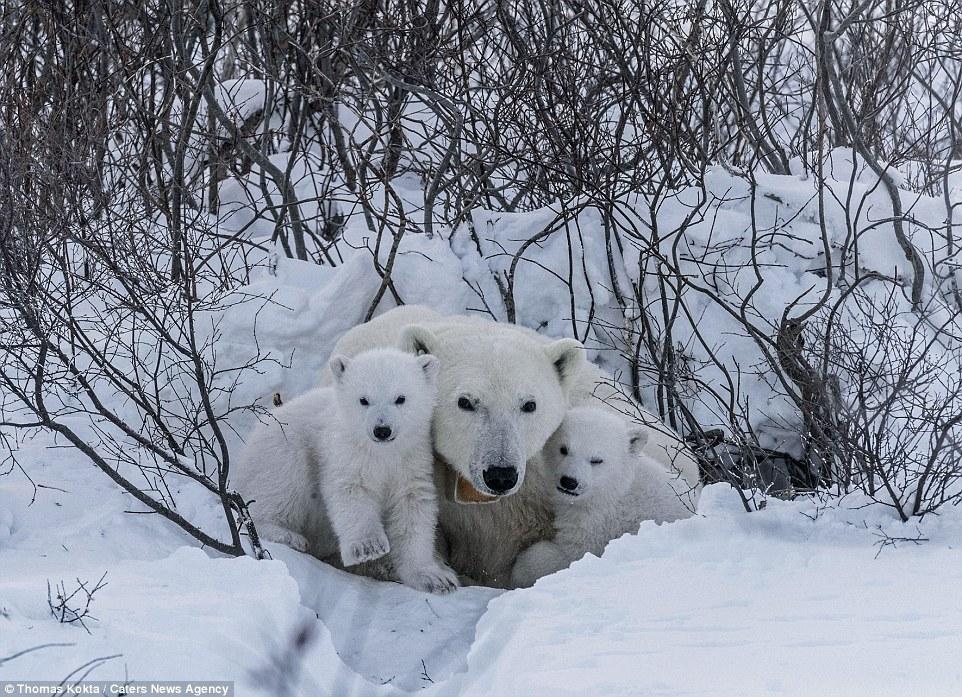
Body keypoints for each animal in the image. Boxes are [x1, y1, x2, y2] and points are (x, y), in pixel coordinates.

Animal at [232, 348, 458, 592]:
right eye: (363, 400)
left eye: (400, 398)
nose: (382, 430)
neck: (382, 452)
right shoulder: (344, 450)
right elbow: (351, 491)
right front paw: (369, 547)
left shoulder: (412, 459)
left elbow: (412, 508)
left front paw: (436, 578)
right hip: (281, 451)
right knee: (280, 486)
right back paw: (287, 535)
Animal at [510, 408, 688, 588]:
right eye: (563, 449)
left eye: (596, 460)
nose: (569, 481)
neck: (617, 490)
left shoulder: (600, 523)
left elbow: (573, 555)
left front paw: (519, 568)